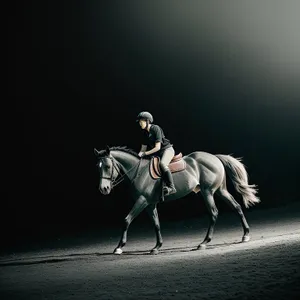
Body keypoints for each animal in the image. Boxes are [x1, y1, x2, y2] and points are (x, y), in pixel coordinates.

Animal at [94, 145, 260, 253]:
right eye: (98, 167)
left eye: (107, 166)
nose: (104, 189)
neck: (138, 171)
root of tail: (215, 157)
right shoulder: (150, 204)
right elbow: (156, 224)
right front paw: (157, 246)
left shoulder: (142, 200)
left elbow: (127, 220)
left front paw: (119, 247)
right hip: (220, 190)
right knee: (236, 206)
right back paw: (245, 235)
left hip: (207, 192)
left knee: (213, 213)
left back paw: (204, 243)